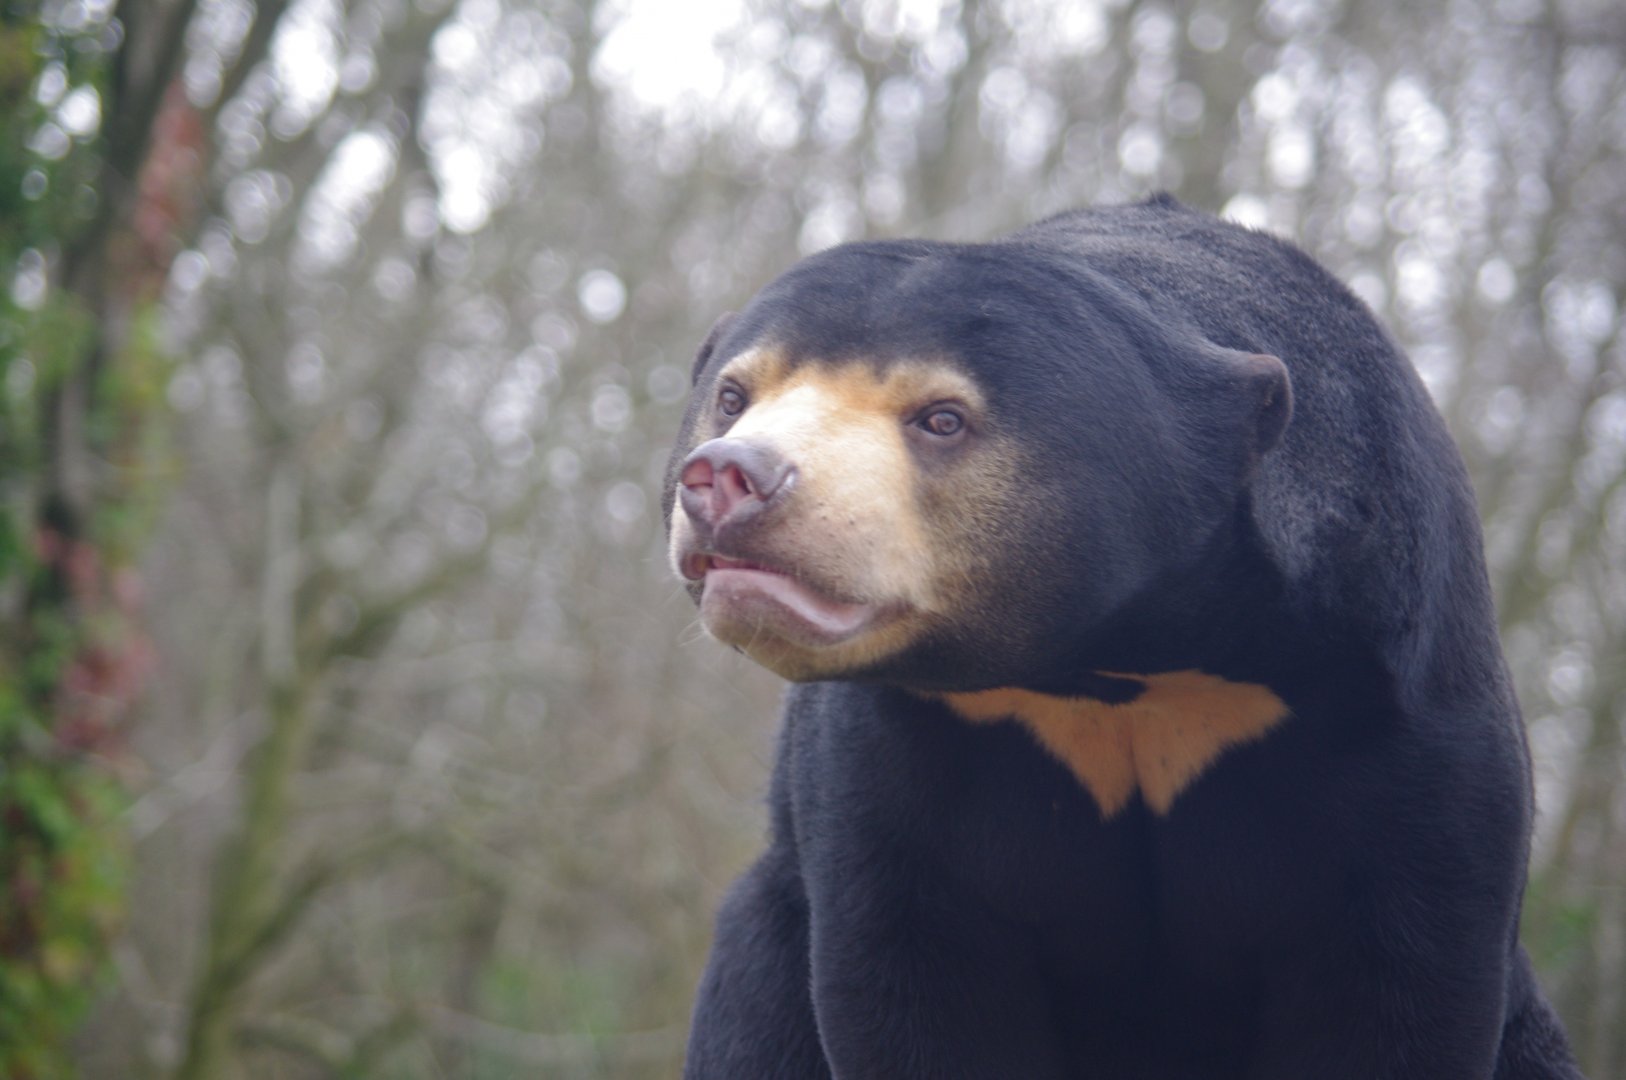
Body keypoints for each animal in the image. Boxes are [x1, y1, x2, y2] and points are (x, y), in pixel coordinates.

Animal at [663, 195, 1583, 1079]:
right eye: (735, 396)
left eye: (942, 419)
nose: (729, 476)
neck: (1115, 661)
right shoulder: (894, 743)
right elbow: (909, 973)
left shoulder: (1399, 708)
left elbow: (1400, 984)